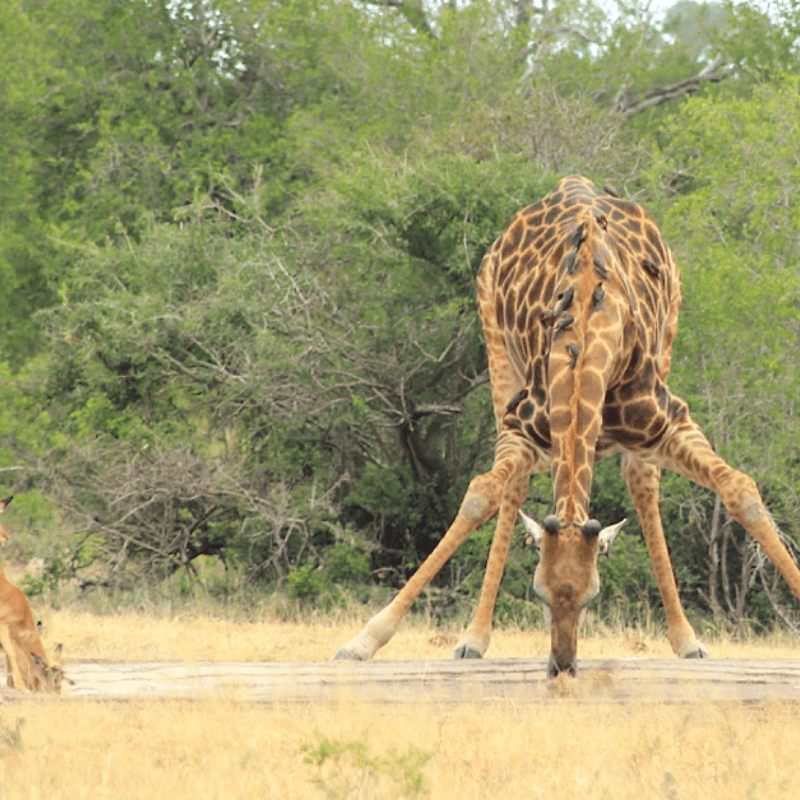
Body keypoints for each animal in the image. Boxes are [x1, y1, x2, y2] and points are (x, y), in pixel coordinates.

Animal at [332, 173, 800, 676]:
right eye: (539, 593)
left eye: (593, 595)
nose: (562, 665)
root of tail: (573, 181)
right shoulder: (523, 429)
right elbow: (481, 495)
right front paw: (361, 641)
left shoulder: (668, 423)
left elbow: (740, 488)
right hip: (495, 345)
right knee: (513, 488)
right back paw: (474, 638)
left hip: (670, 331)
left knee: (641, 478)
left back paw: (686, 639)